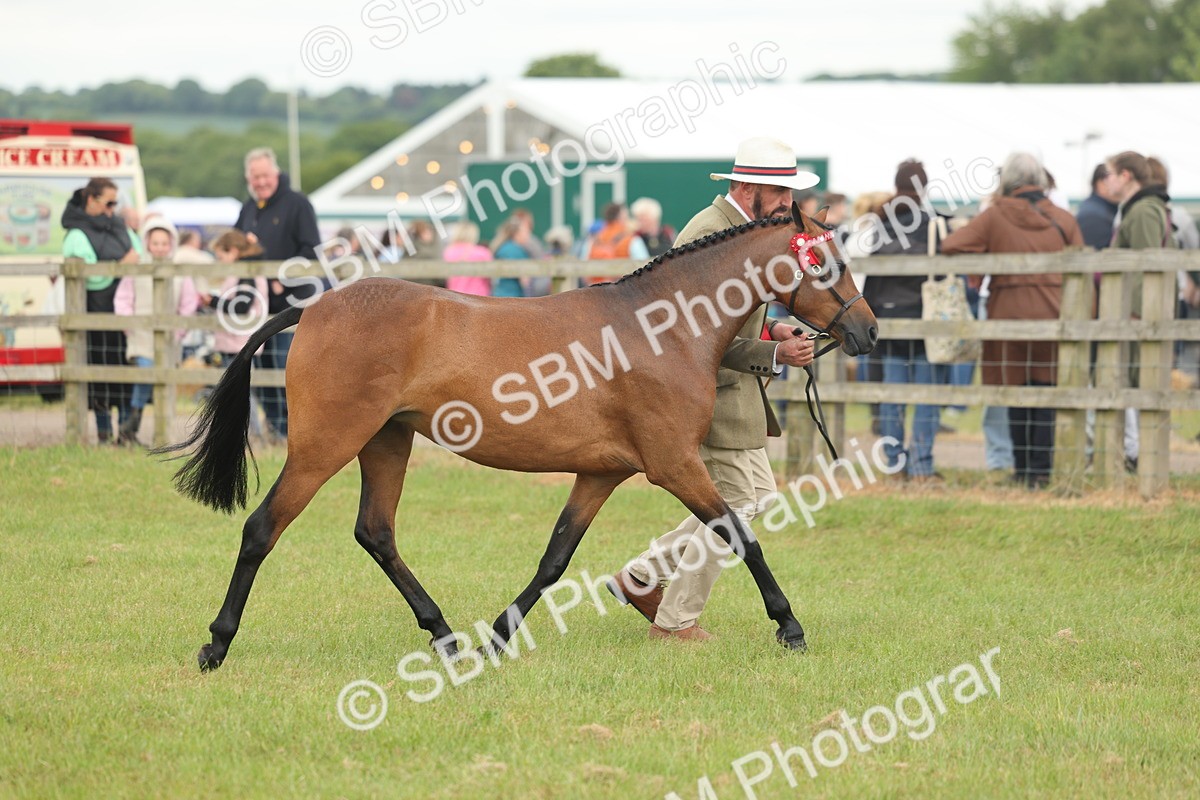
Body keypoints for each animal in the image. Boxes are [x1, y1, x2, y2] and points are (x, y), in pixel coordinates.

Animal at [161, 202, 878, 672]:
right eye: (828, 264)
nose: (868, 332)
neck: (661, 326)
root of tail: (316, 305)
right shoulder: (674, 464)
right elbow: (740, 533)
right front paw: (790, 627)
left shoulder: (601, 473)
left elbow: (554, 559)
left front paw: (498, 639)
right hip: (324, 444)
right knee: (263, 528)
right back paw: (216, 644)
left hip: (386, 442)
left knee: (376, 532)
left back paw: (446, 636)